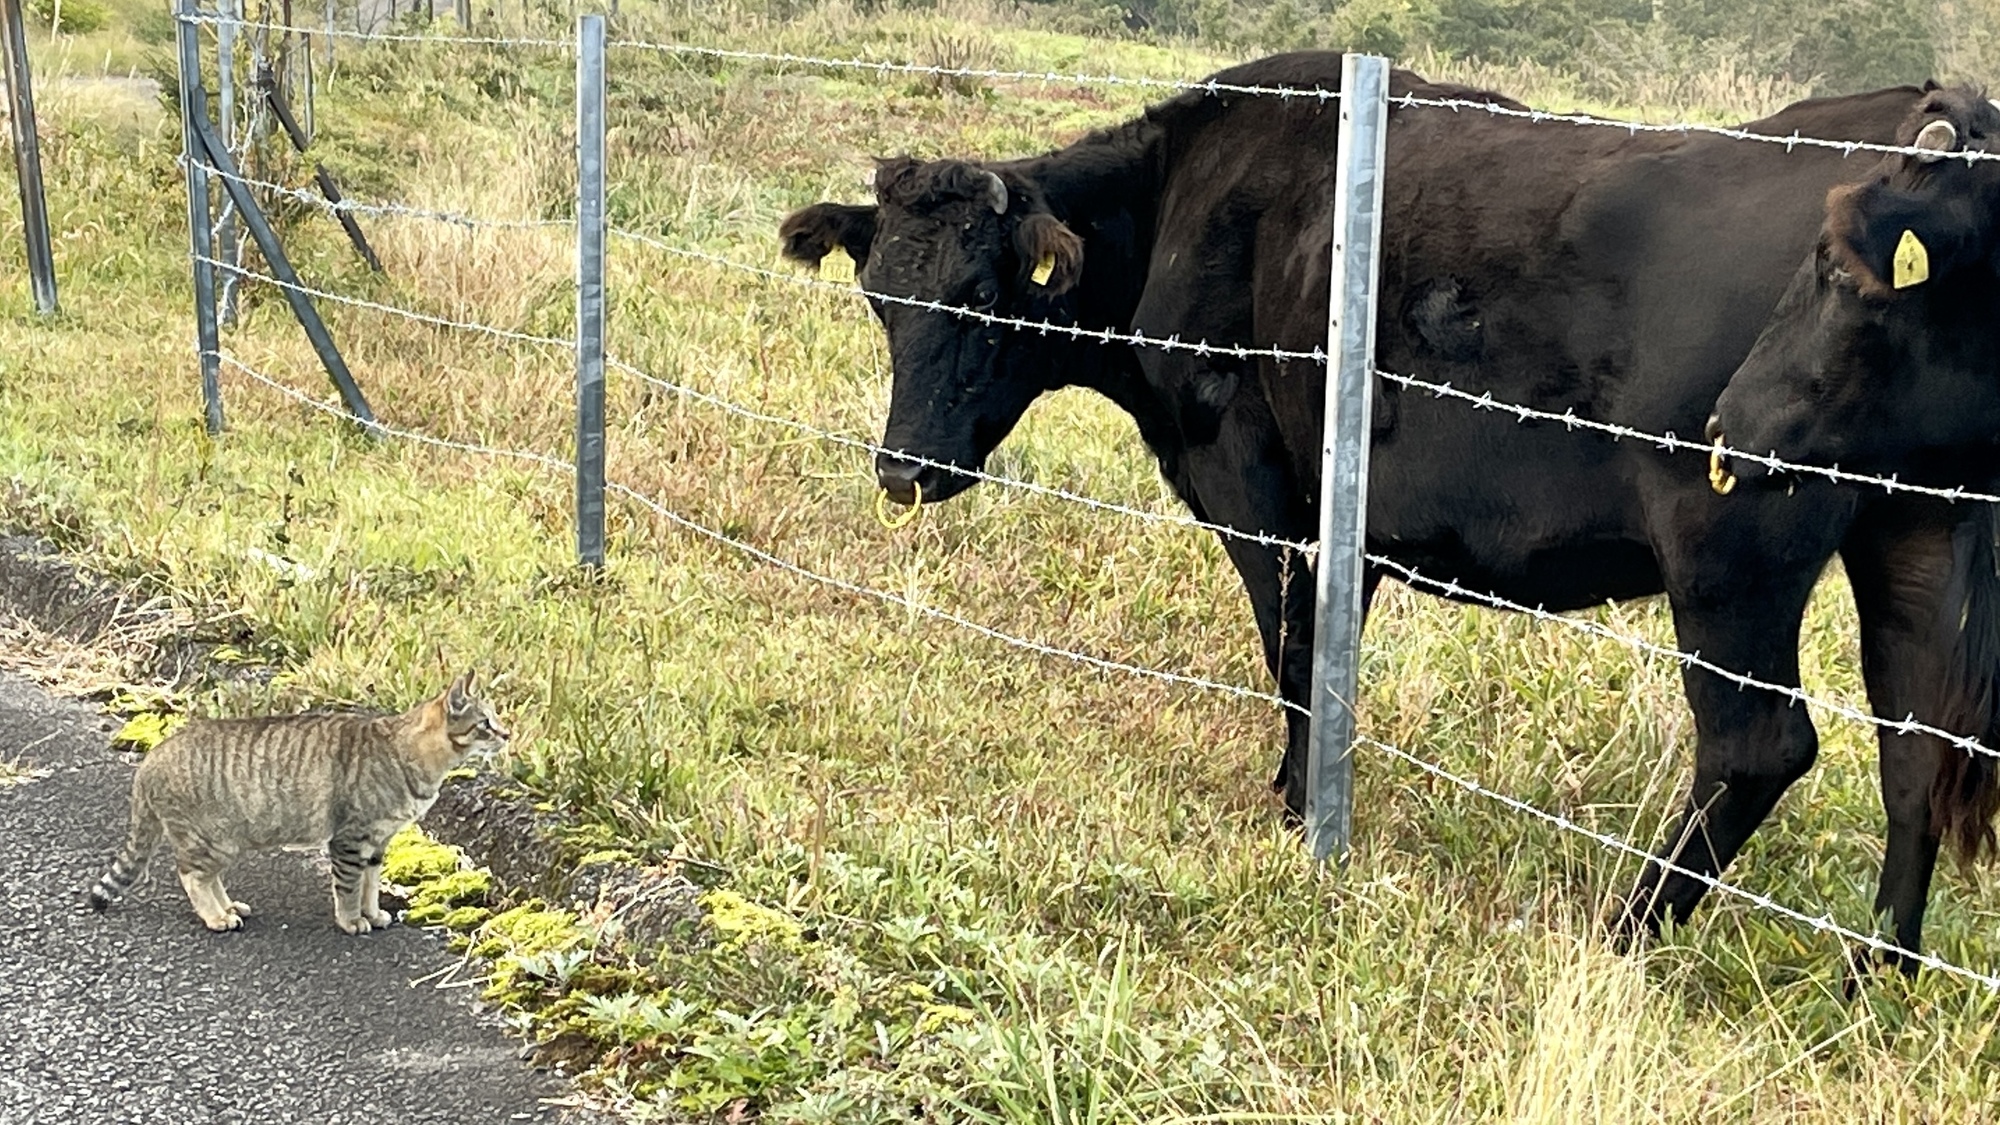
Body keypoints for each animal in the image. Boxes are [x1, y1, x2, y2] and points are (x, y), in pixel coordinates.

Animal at [87, 668, 512, 932]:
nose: (507, 734)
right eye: (485, 724)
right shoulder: (350, 838)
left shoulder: (378, 842)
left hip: (222, 842)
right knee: (191, 876)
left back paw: (229, 907)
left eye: (496, 719)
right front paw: (351, 921)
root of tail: (152, 758)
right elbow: (348, 887)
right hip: (209, 839)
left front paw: (373, 913)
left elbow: (371, 884)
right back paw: (217, 917)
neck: (410, 754)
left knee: (209, 877)